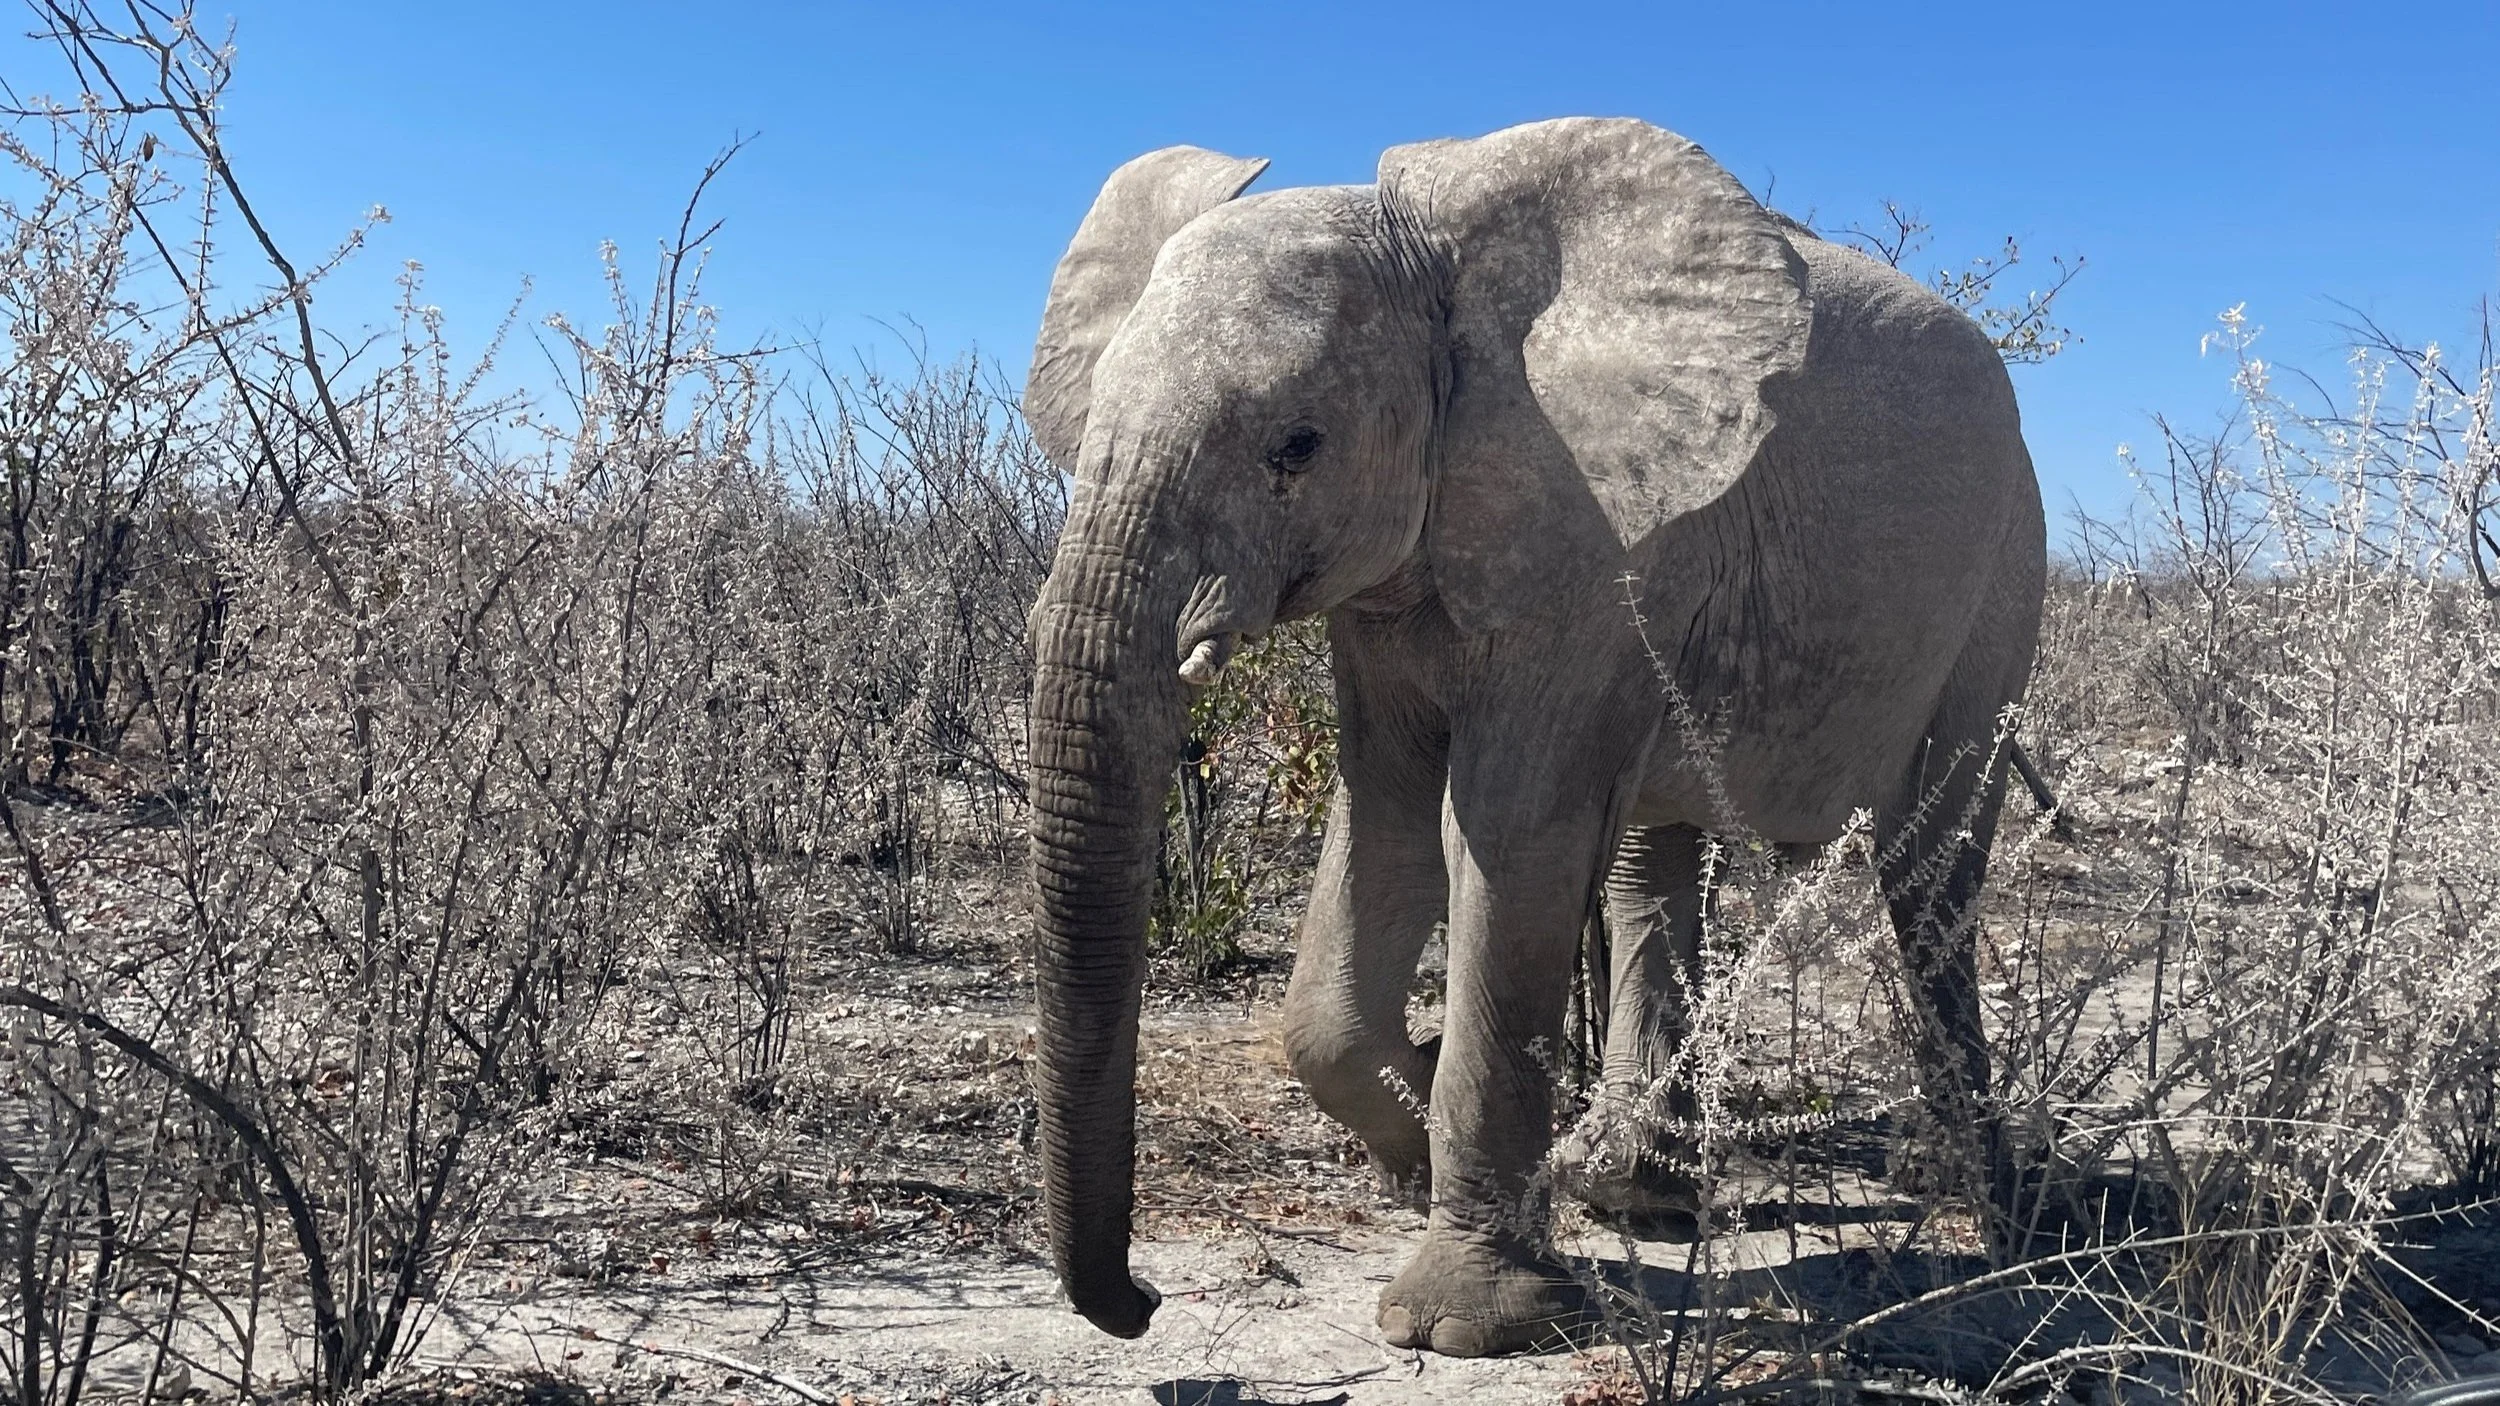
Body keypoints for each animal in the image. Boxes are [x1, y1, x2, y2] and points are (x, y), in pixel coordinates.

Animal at [1021, 117, 2046, 1357]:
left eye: (1297, 445)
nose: (1140, 1303)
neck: (1441, 267)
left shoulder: (1596, 535)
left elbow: (1507, 838)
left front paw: (1461, 1324)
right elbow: (1384, 817)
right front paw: (1414, 1119)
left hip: (2004, 577)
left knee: (1933, 870)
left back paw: (1980, 1210)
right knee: (1657, 862)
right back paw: (1636, 1192)